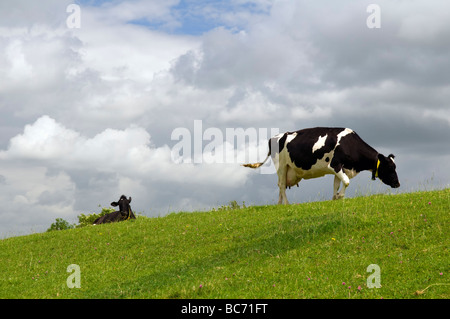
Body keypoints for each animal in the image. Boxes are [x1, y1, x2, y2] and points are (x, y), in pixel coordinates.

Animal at [244, 127, 400, 205]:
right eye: (390, 168)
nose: (398, 184)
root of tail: (274, 137)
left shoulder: (341, 168)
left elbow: (337, 184)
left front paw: (335, 197)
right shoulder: (335, 165)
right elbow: (346, 182)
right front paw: (340, 196)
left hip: (286, 168)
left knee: (279, 185)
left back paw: (279, 204)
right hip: (281, 166)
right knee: (282, 185)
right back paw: (287, 204)